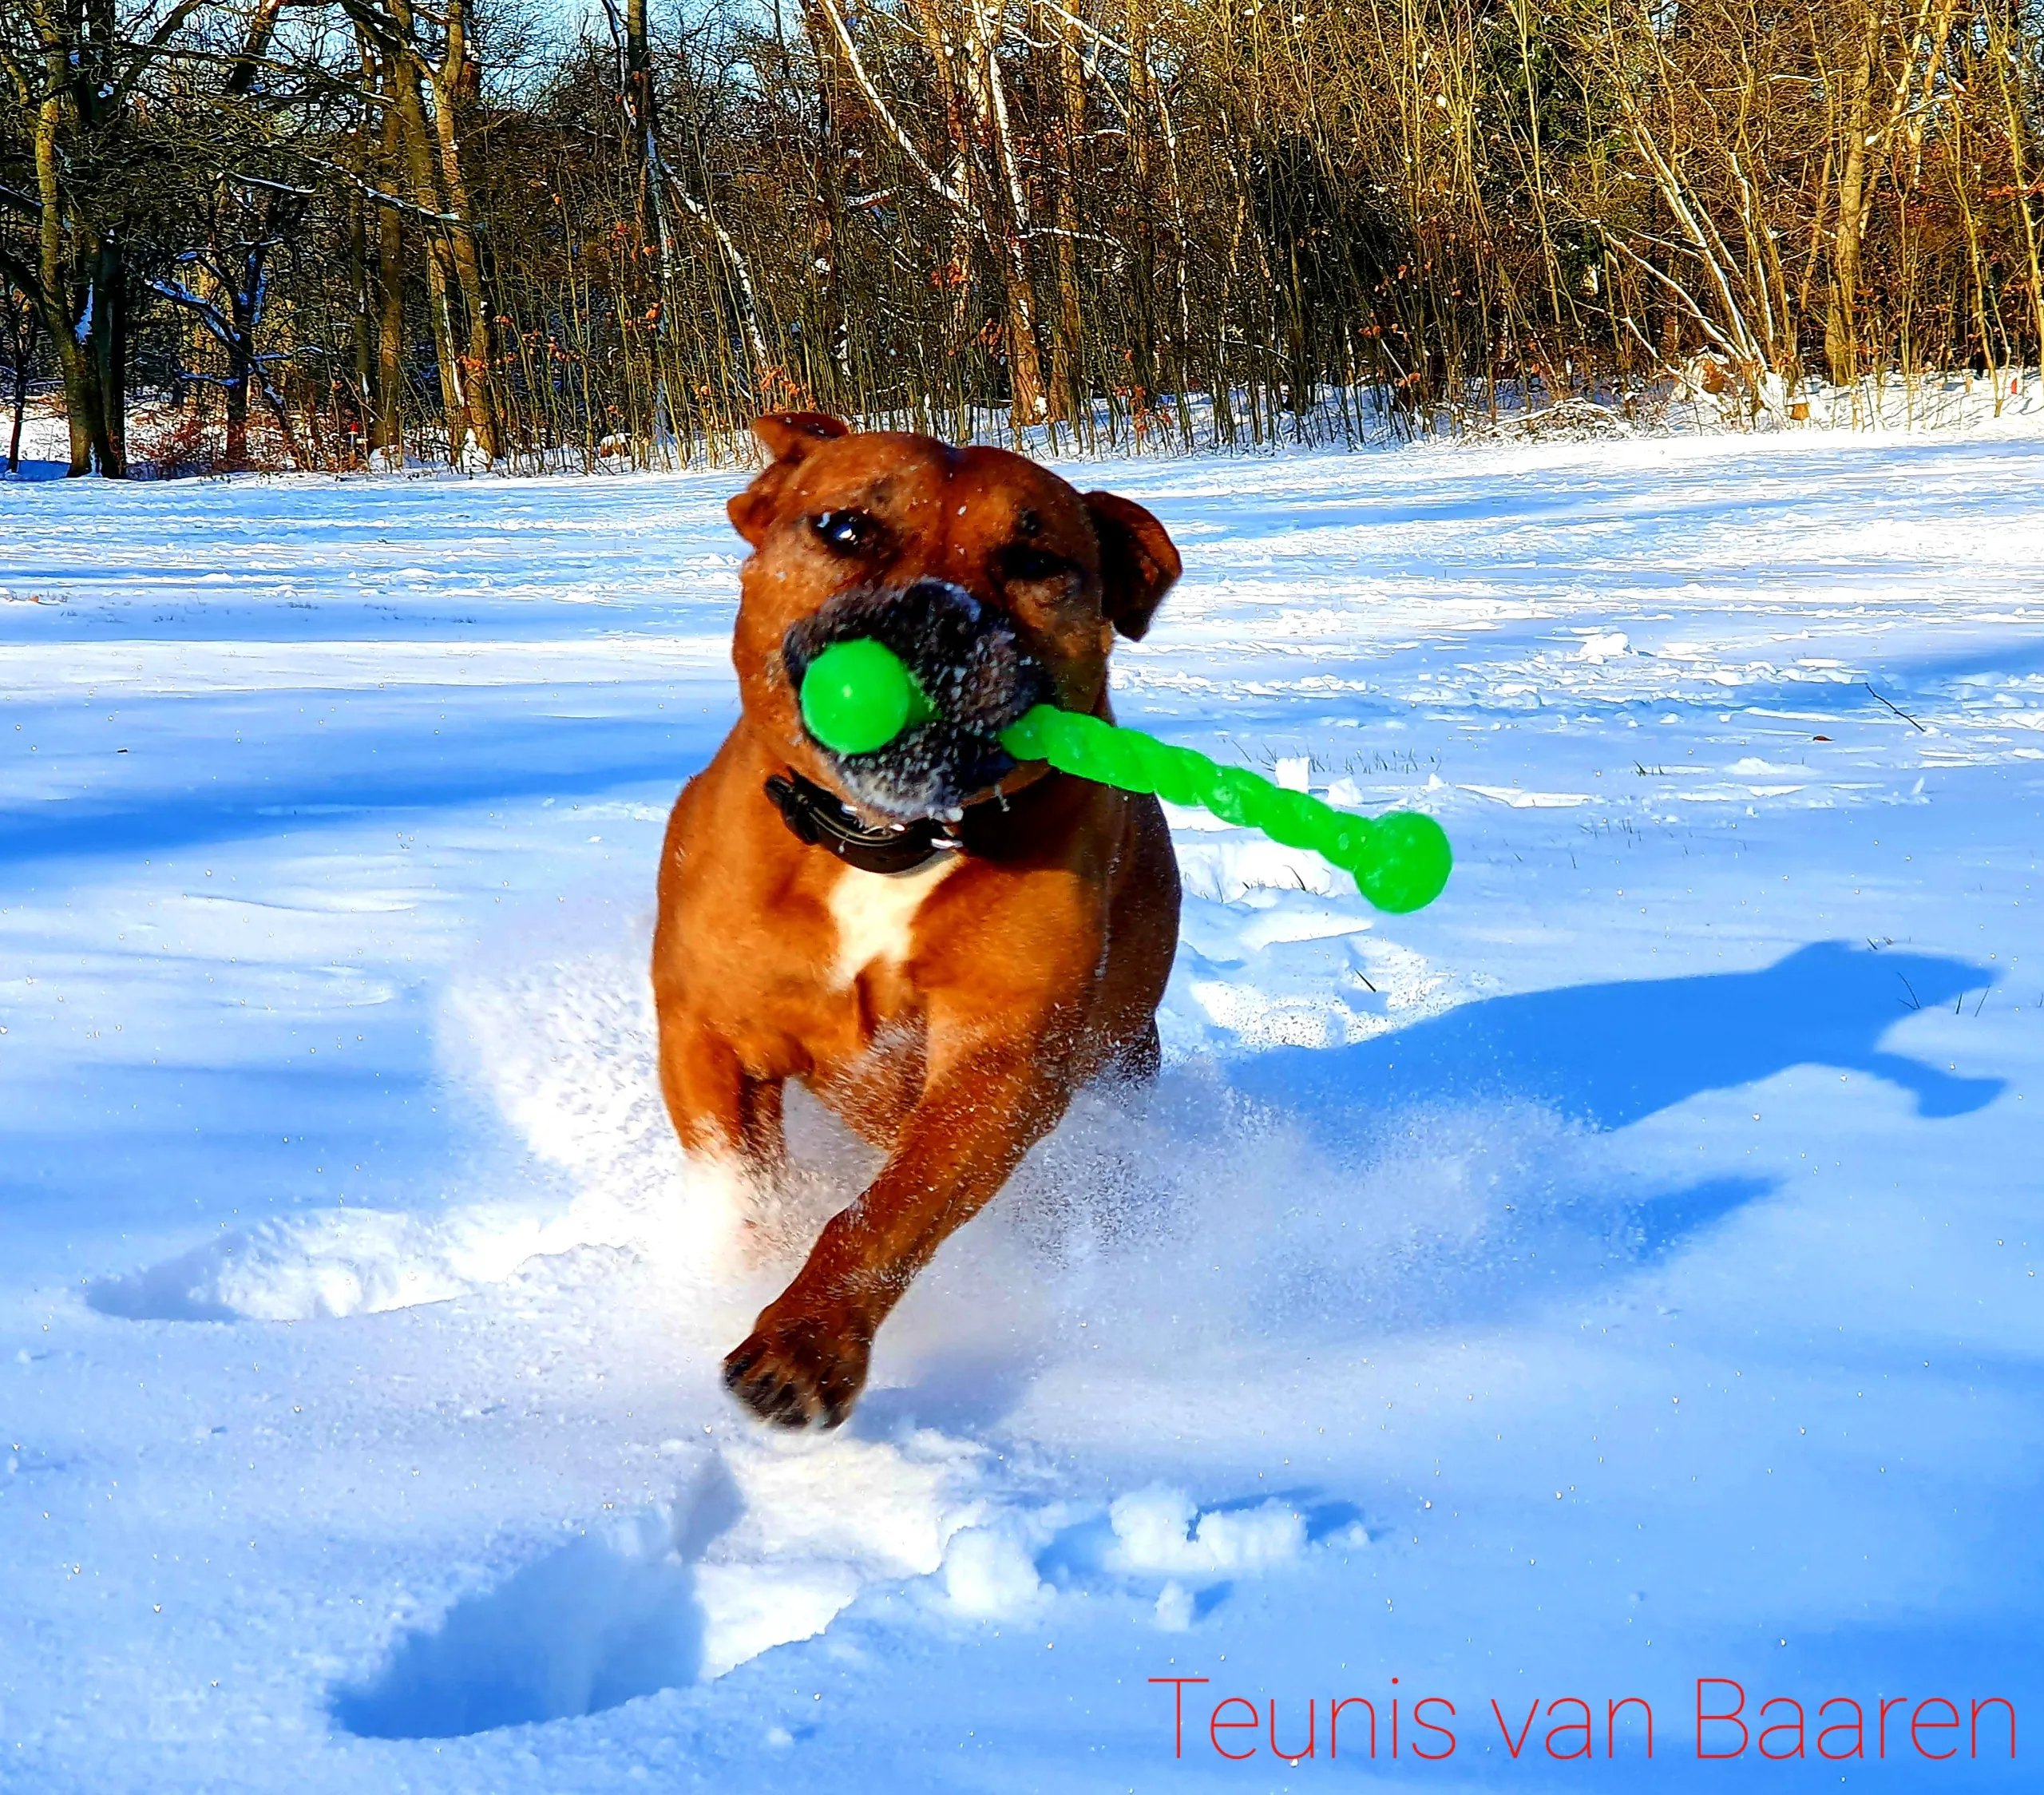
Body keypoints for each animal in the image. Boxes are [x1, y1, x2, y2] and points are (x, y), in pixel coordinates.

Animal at [654, 418, 1194, 1431]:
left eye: (1035, 560)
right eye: (844, 526)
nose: (936, 617)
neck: (885, 840)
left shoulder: (1002, 1061)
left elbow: (894, 1206)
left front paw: (803, 1344)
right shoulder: (705, 1034)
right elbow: (743, 1185)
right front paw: (742, 1271)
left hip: (1120, 1060)